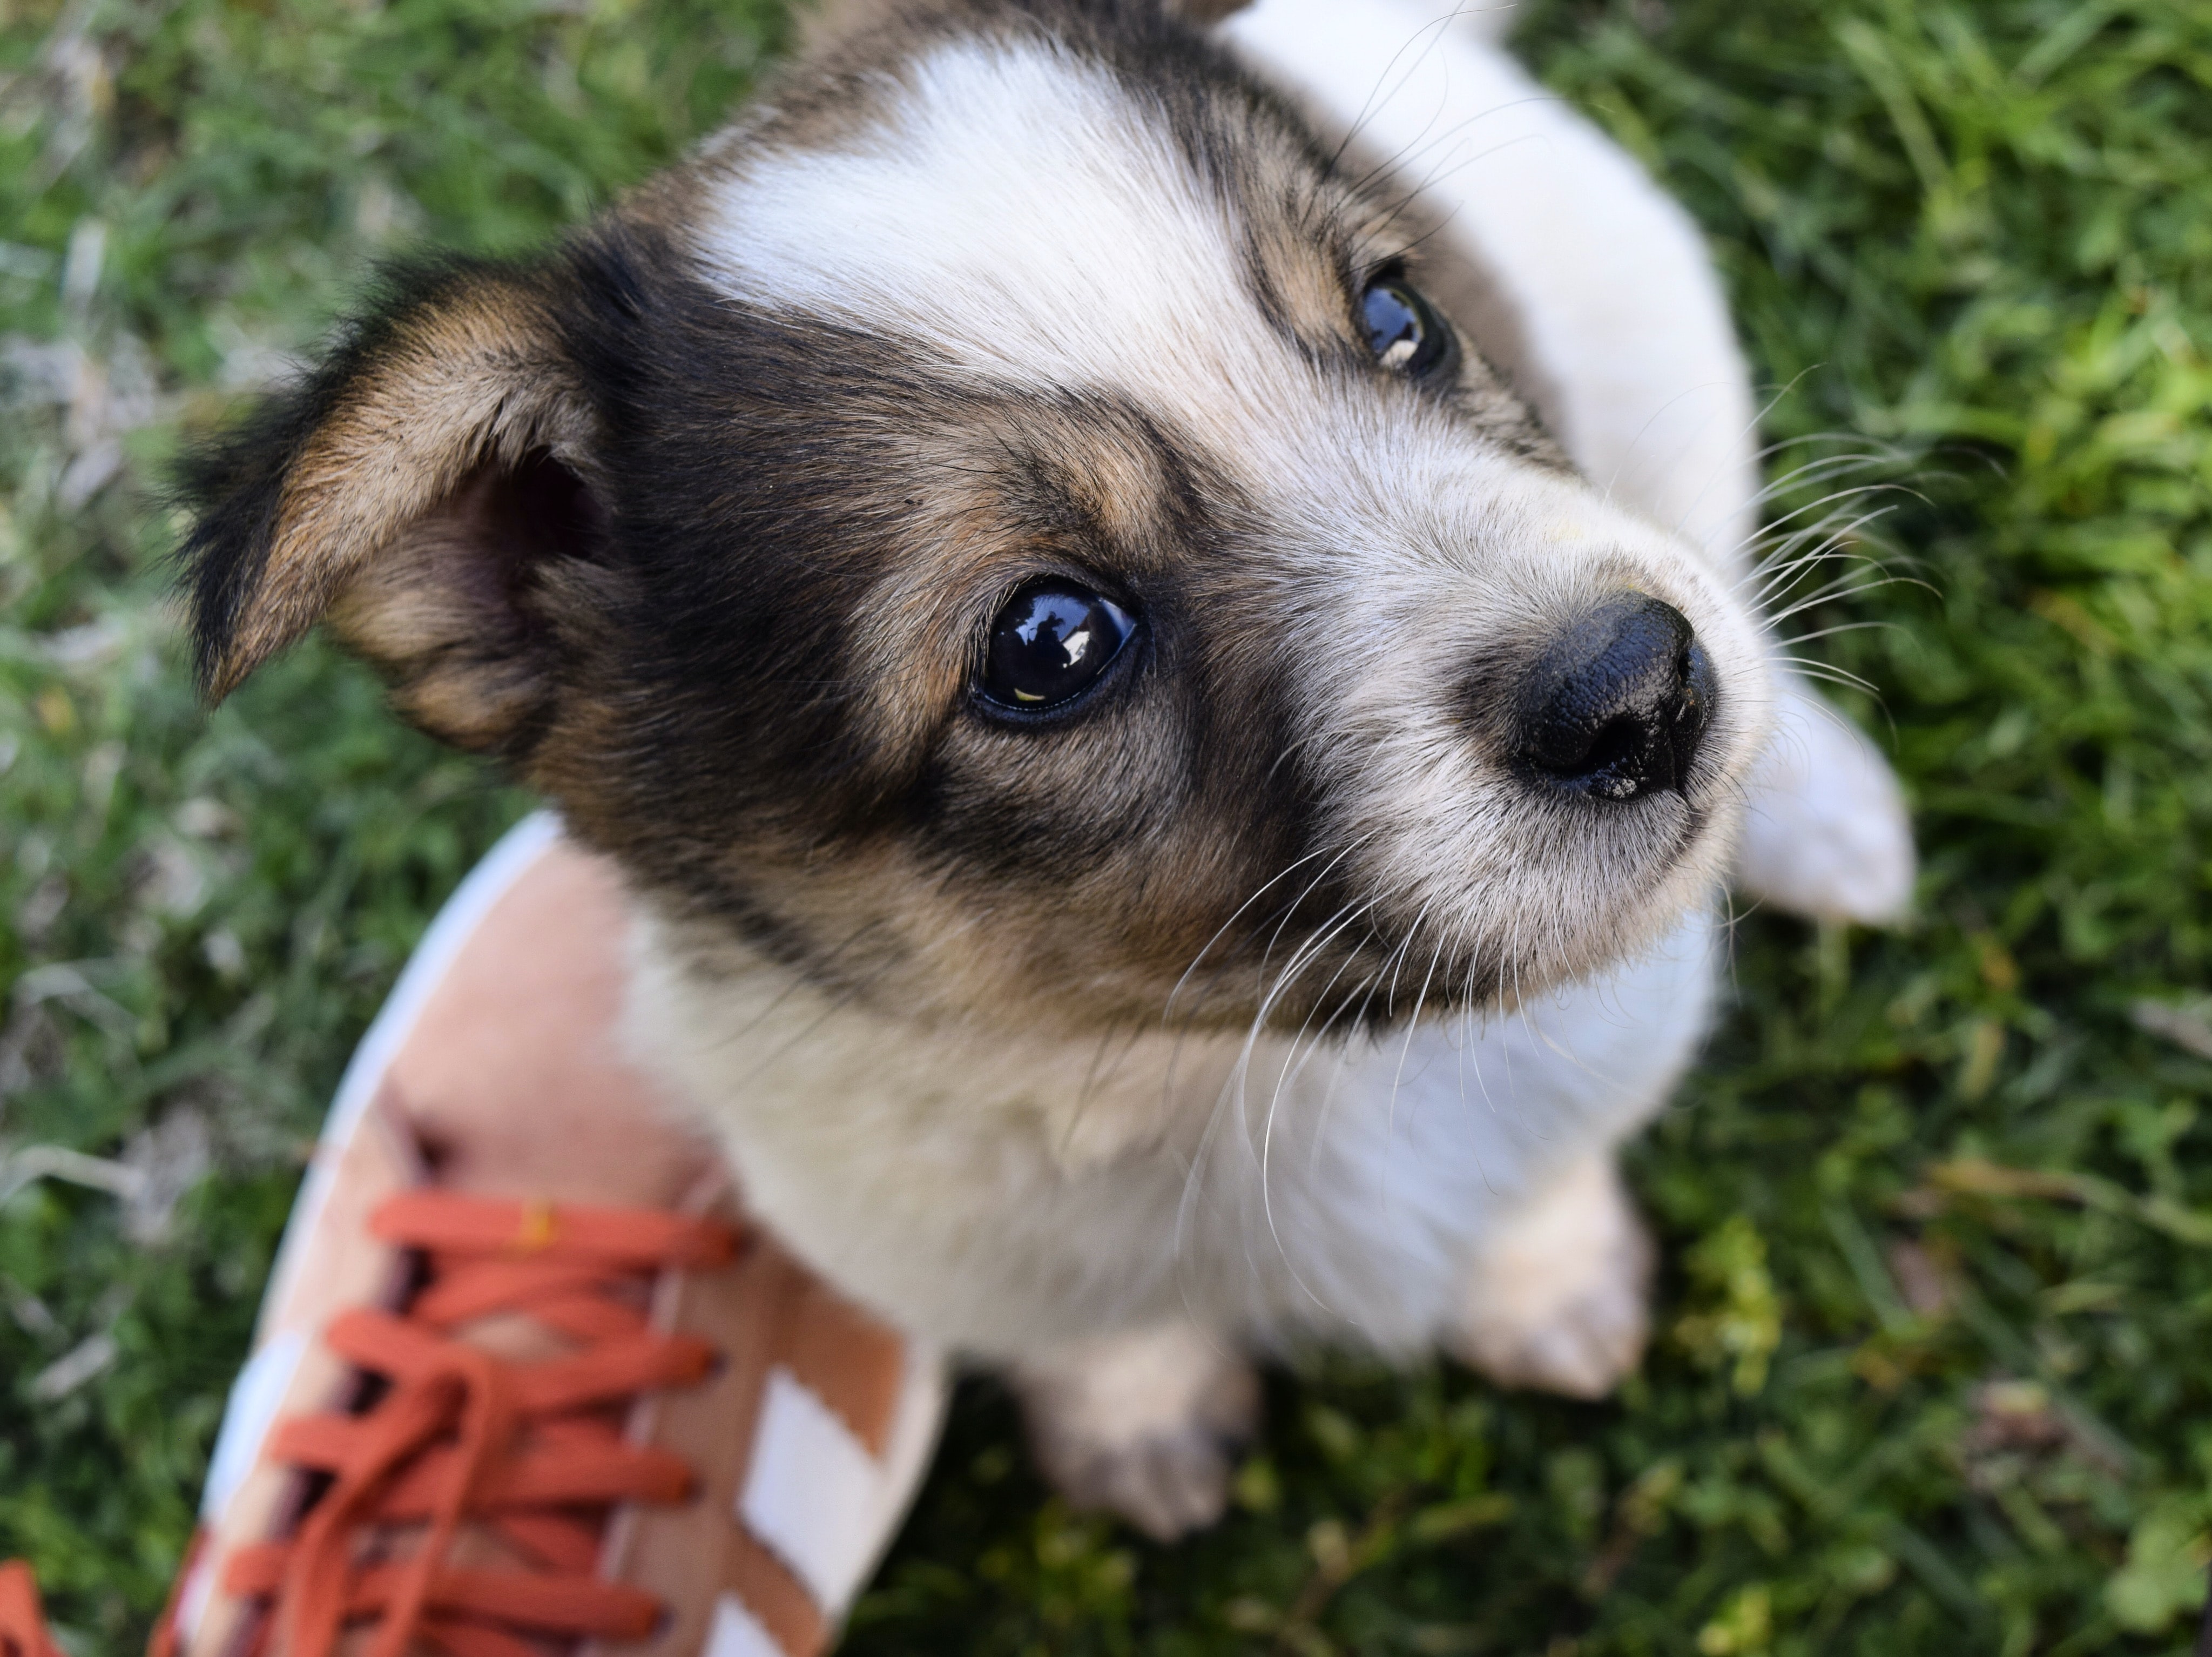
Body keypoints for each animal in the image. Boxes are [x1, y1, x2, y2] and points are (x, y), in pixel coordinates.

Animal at [186, 0, 1920, 1539]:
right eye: (1048, 641)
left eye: (1397, 320)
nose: (1639, 692)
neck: (1229, 1073)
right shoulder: (899, 1217)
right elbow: (1096, 1330)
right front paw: (1140, 1425)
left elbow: (1537, 1182)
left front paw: (1549, 1289)